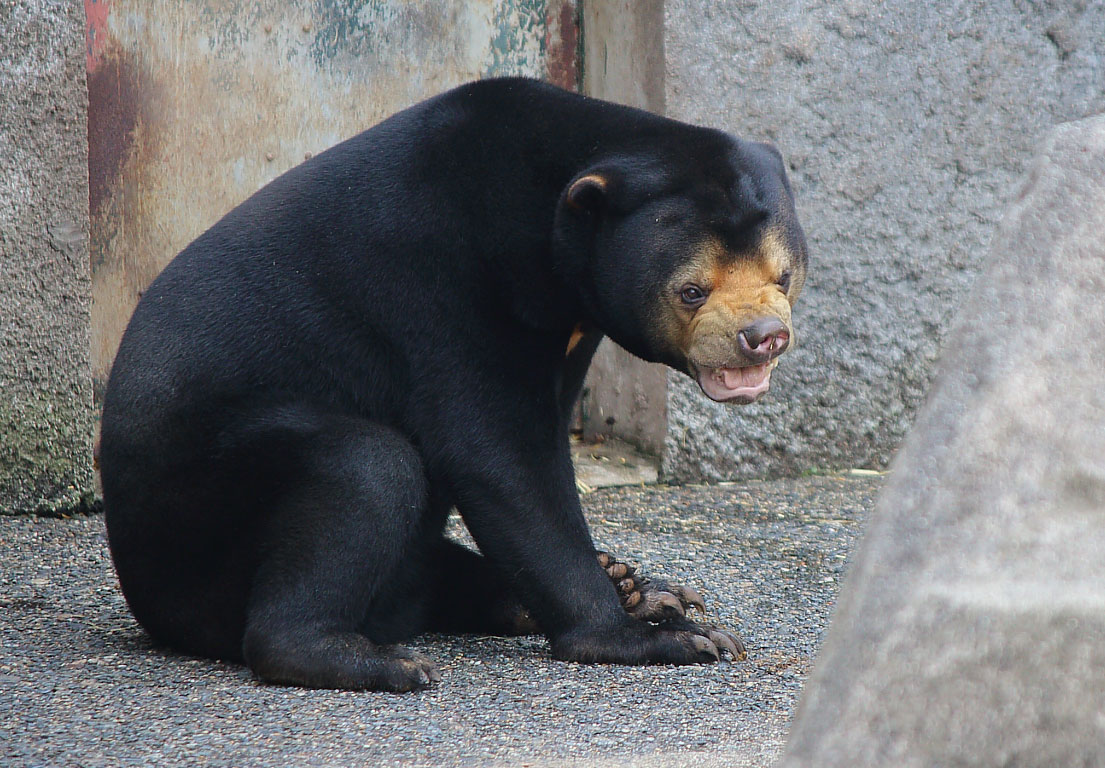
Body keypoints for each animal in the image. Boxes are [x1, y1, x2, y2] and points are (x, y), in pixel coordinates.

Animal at [99, 76, 808, 689]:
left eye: (784, 275)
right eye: (692, 291)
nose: (763, 337)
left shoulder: (568, 326)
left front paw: (651, 604)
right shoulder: (445, 284)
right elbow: (497, 454)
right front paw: (656, 638)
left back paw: (632, 587)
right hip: (200, 512)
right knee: (364, 466)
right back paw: (373, 660)